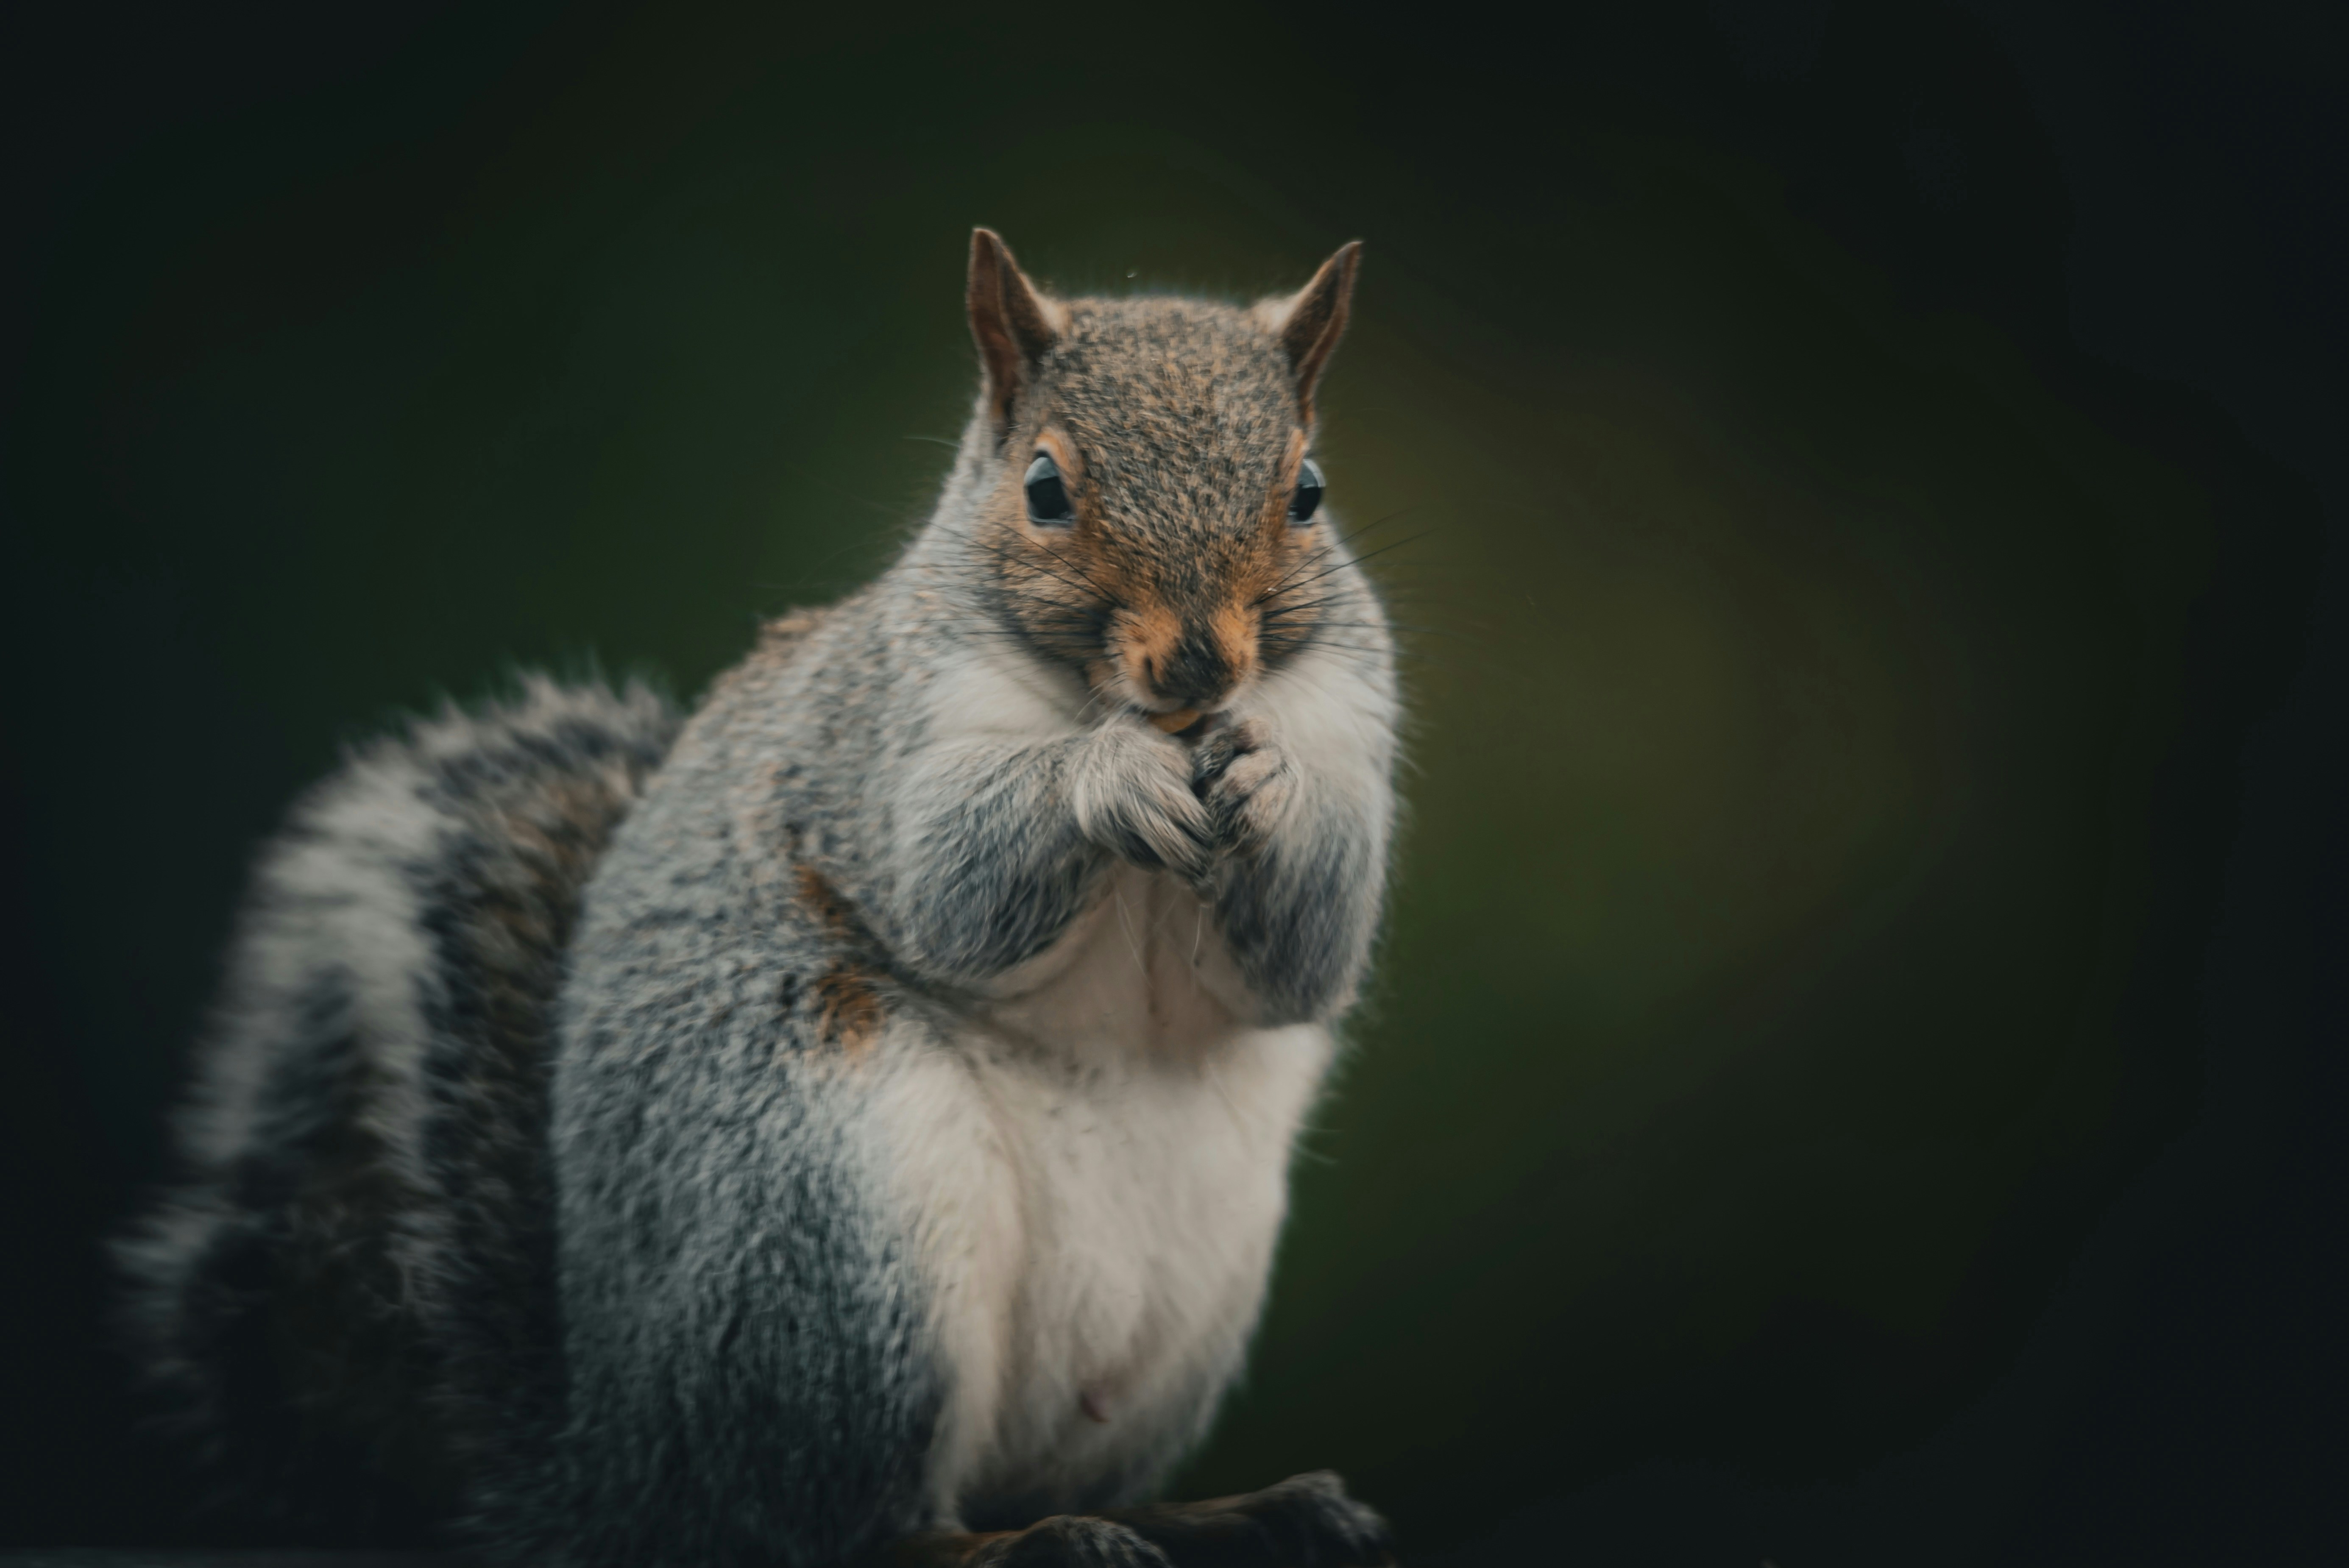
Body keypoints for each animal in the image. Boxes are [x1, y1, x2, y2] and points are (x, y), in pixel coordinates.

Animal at [118, 229, 1401, 1568]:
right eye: (1045, 488)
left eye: (1307, 491)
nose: (1202, 664)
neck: (1137, 709)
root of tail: (623, 1471)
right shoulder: (873, 744)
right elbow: (951, 887)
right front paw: (1103, 779)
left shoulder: (1350, 714)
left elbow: (1307, 955)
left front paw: (1272, 785)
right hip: (834, 1243)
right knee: (846, 1521)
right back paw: (1032, 1539)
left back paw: (1225, 1511)